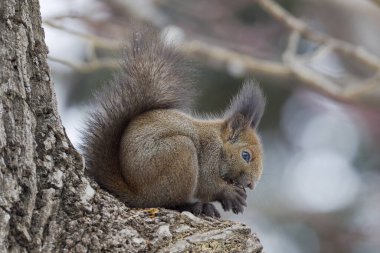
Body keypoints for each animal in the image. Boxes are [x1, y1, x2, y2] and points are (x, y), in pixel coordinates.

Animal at [82, 29, 268, 217]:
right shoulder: (209, 153)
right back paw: (193, 206)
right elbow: (207, 184)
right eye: (246, 155)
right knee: (168, 201)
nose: (251, 184)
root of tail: (136, 193)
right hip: (179, 155)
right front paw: (229, 194)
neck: (219, 143)